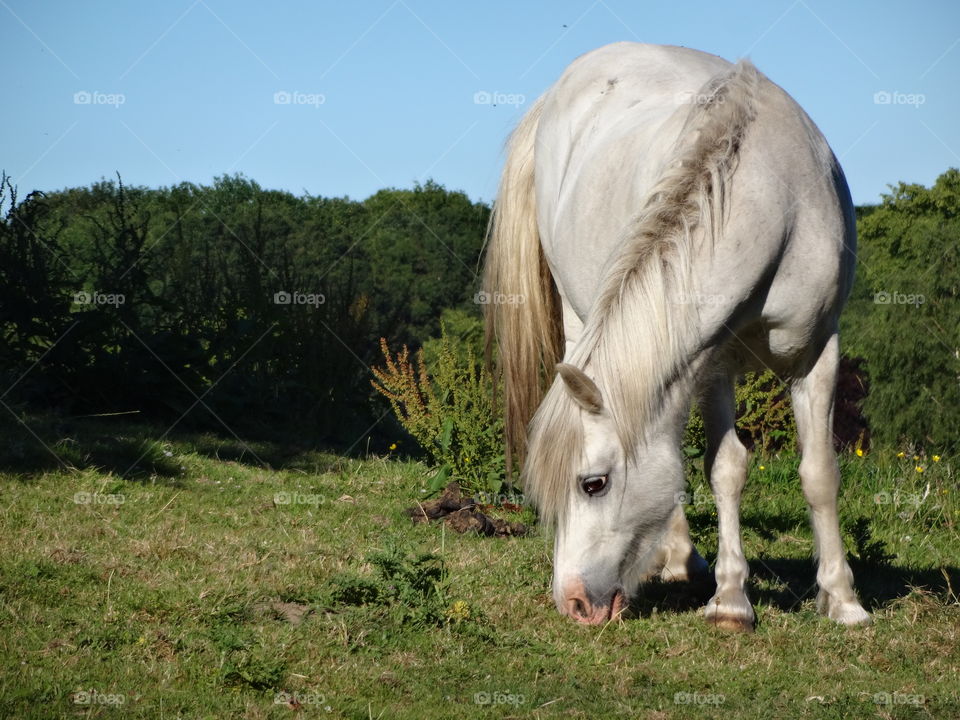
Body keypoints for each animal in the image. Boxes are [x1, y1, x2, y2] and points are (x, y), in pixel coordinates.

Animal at [484, 40, 868, 632]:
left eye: (593, 483)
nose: (572, 603)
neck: (771, 201)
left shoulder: (818, 351)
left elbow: (820, 473)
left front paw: (843, 600)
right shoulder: (714, 359)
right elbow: (725, 469)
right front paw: (731, 600)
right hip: (586, 318)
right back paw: (681, 558)